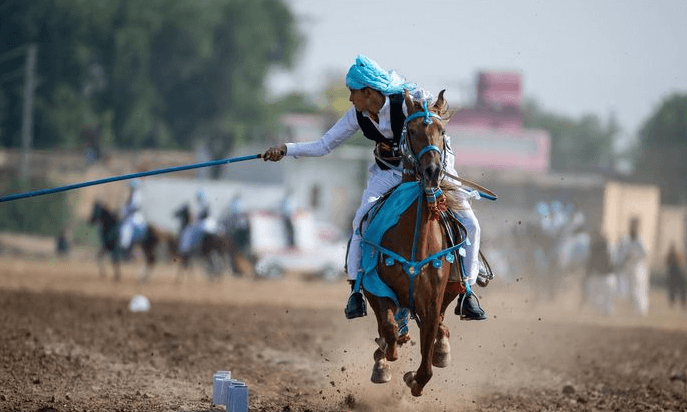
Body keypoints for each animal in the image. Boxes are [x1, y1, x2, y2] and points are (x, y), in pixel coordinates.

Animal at [360, 90, 468, 396]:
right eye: (412, 131)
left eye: (441, 131)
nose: (432, 170)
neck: (415, 242)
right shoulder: (375, 287)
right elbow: (388, 328)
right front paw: (384, 359)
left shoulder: (431, 301)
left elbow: (427, 360)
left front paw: (415, 378)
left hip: (450, 290)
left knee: (440, 326)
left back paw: (441, 348)